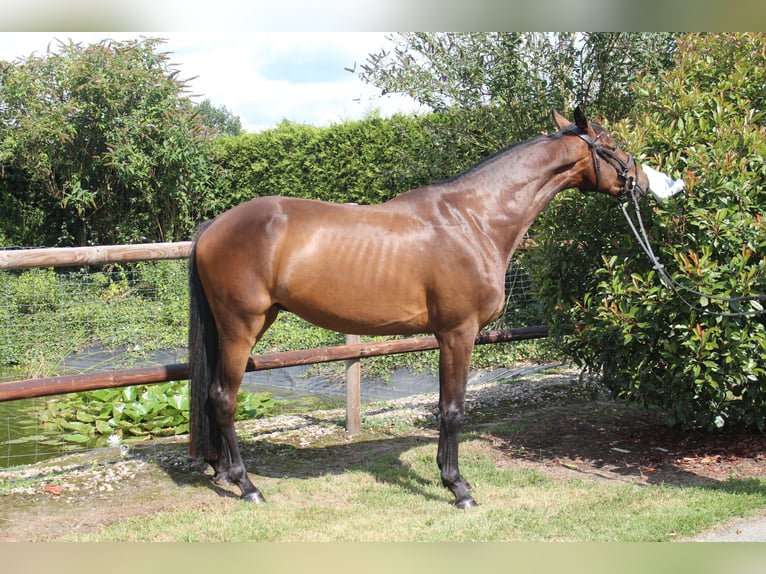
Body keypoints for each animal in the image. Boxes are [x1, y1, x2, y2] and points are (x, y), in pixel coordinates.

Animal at [187, 107, 650, 508]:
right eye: (611, 143)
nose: (641, 182)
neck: (473, 219)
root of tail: (213, 226)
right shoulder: (459, 333)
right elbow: (453, 409)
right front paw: (458, 488)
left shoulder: (447, 336)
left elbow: (446, 405)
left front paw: (450, 477)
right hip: (241, 327)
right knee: (223, 397)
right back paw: (247, 485)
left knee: (214, 396)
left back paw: (224, 472)